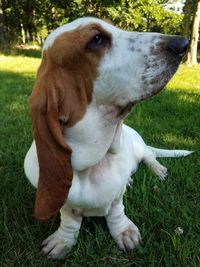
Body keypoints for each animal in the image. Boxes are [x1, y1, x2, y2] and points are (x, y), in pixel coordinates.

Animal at [23, 17, 191, 260]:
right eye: (97, 39)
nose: (182, 43)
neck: (92, 164)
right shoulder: (65, 203)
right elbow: (69, 219)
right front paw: (62, 241)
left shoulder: (116, 198)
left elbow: (116, 211)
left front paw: (124, 233)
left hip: (139, 146)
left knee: (149, 156)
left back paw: (158, 170)